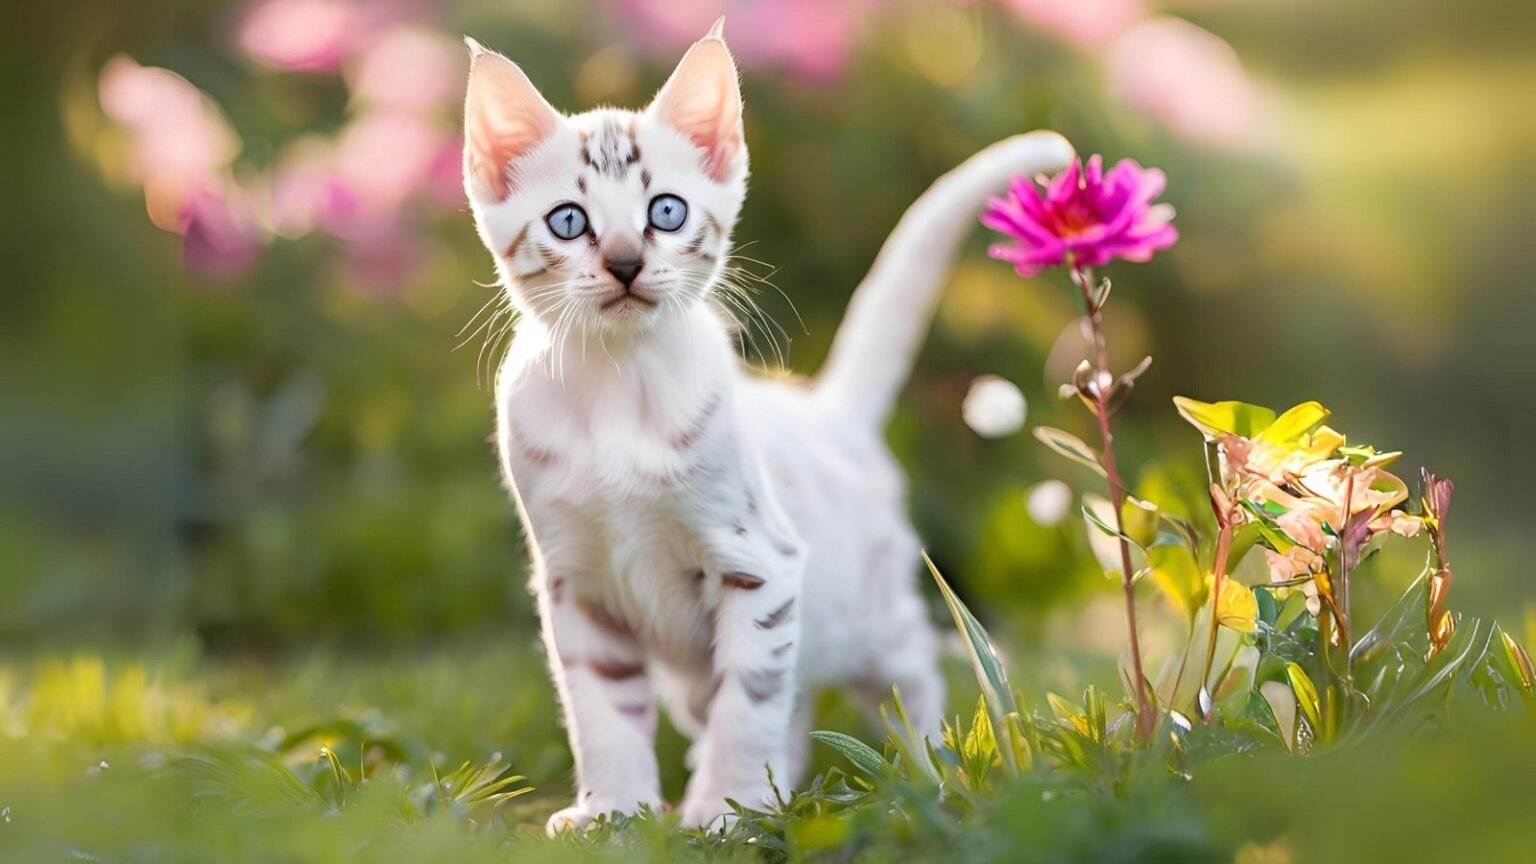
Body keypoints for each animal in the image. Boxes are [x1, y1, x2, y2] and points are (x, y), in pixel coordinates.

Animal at [460, 18, 1075, 830]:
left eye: (666, 211)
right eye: (569, 222)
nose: (624, 263)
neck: (619, 388)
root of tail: (830, 409)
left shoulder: (759, 564)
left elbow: (747, 702)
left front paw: (725, 813)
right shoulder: (576, 585)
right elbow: (603, 711)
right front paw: (613, 812)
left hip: (866, 618)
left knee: (910, 668)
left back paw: (934, 770)